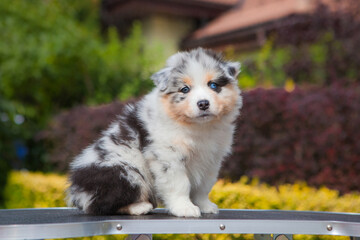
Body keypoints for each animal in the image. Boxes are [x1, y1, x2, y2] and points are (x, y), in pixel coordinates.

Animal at [67, 47, 242, 218]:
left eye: (213, 85)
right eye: (185, 89)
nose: (203, 103)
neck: (197, 126)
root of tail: (77, 192)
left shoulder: (211, 159)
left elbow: (204, 186)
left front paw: (205, 206)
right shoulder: (168, 156)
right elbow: (180, 184)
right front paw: (184, 208)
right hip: (125, 172)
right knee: (101, 205)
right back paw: (140, 207)